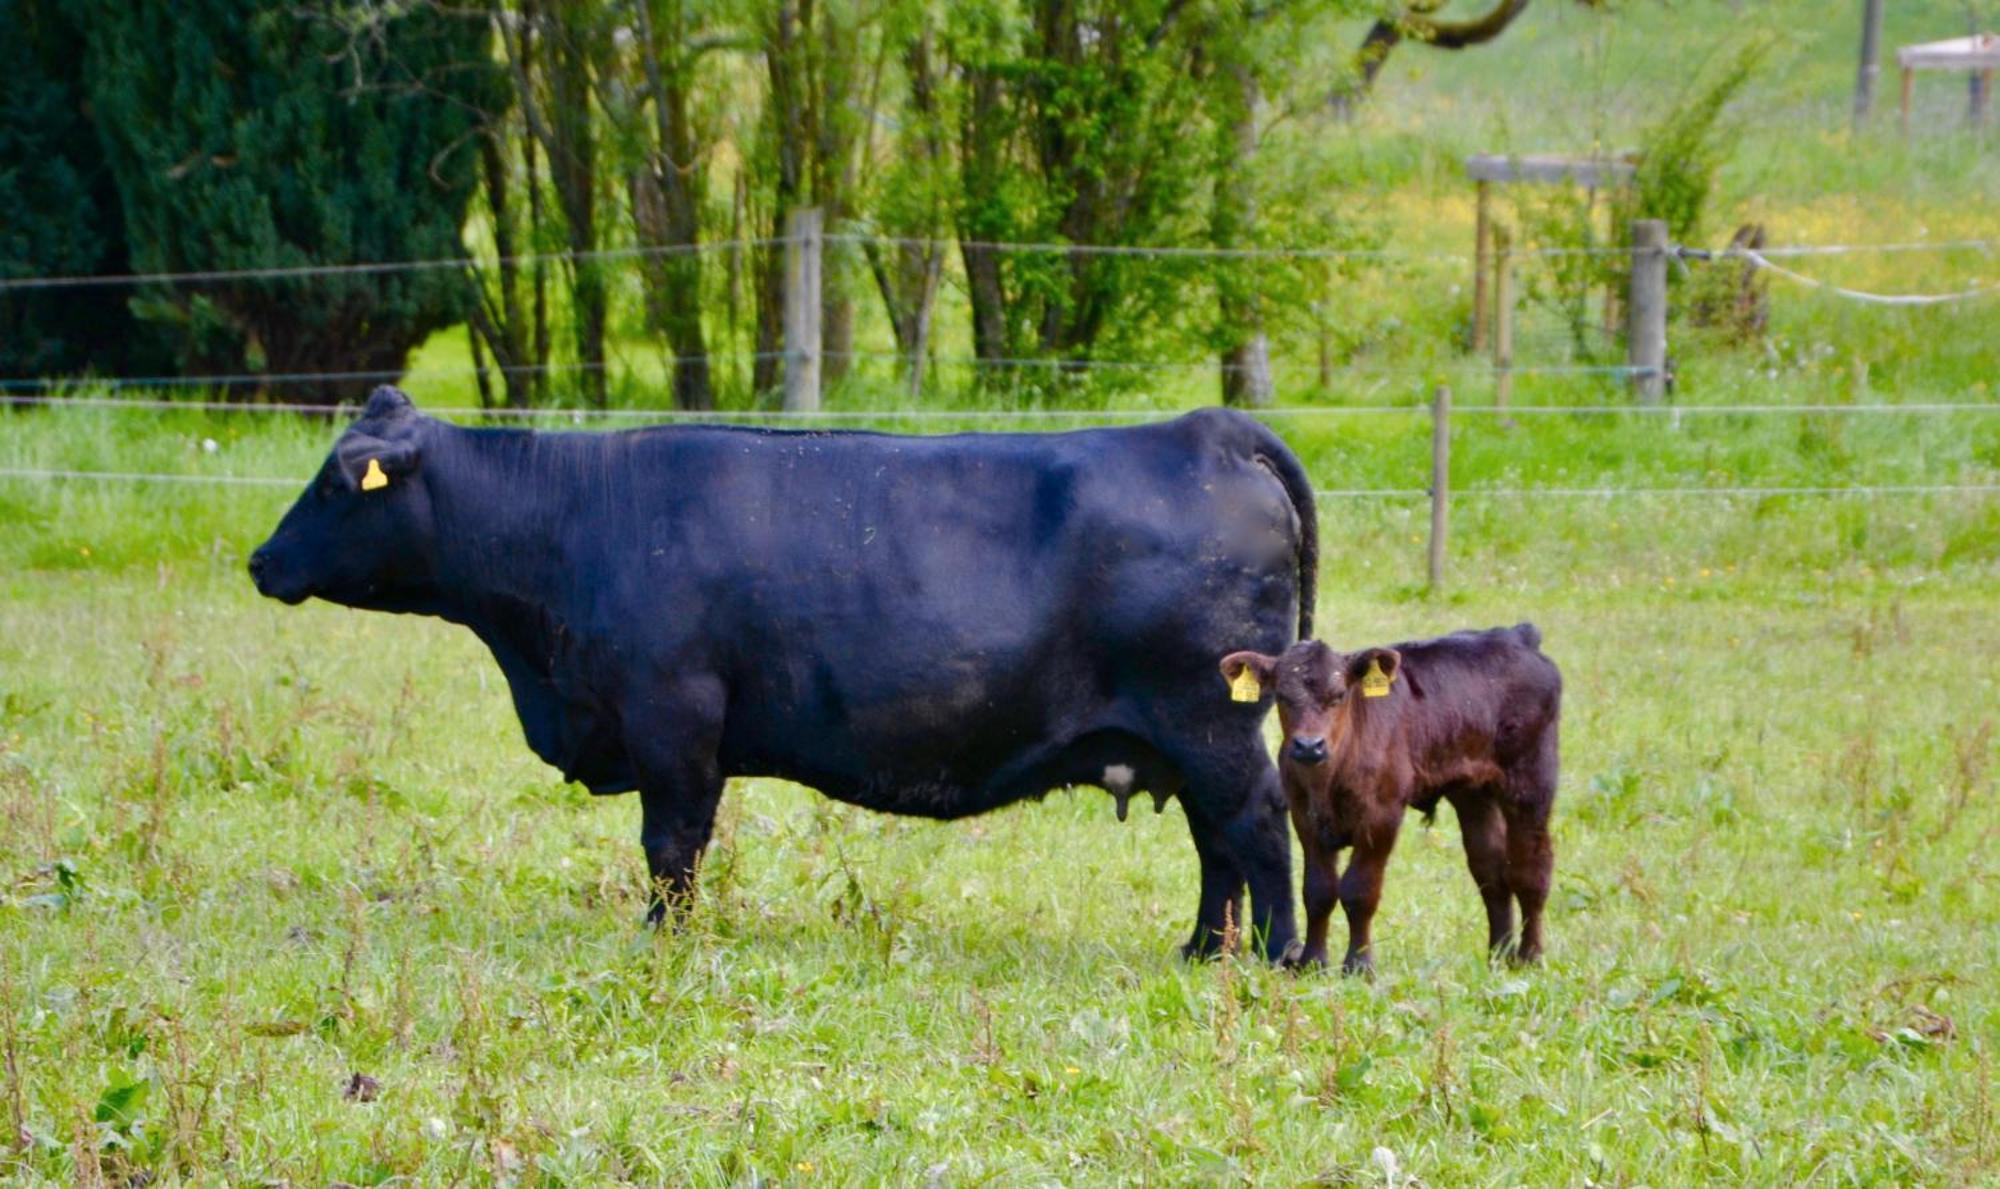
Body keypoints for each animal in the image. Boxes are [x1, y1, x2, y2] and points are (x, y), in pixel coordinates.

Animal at [250, 384, 1320, 956]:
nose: (261, 560)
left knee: (1254, 826)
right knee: (1217, 844)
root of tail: (1206, 428)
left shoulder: (673, 718)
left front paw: (662, 938)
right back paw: (1201, 950)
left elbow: (672, 843)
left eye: (340, 483)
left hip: (1210, 719)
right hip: (1185, 735)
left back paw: (1273, 956)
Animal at [1216, 620, 1560, 972]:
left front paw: (1358, 965)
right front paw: (1313, 962)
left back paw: (1530, 955)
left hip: (1531, 781)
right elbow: (1318, 891)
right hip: (1473, 792)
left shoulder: (1381, 816)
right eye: (1282, 697)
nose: (1309, 746)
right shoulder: (1304, 818)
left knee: (1531, 868)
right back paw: (1499, 955)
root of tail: (1516, 635)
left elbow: (1359, 891)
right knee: (1490, 869)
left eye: (1339, 695)